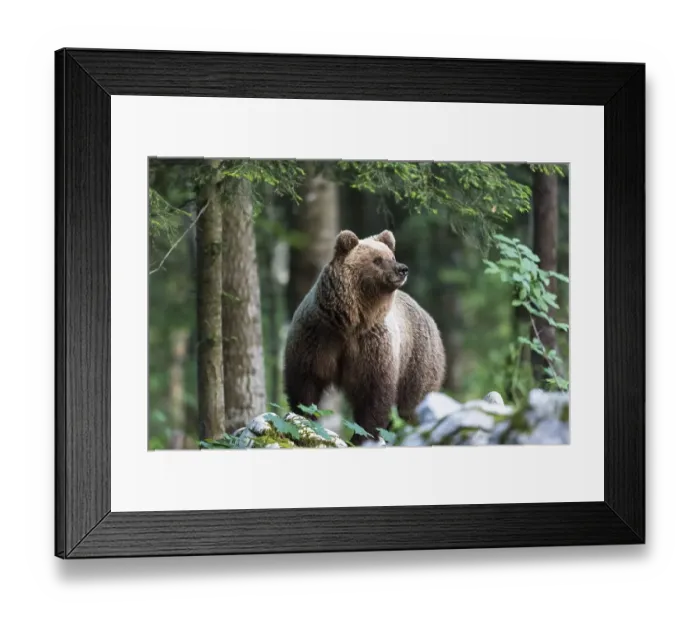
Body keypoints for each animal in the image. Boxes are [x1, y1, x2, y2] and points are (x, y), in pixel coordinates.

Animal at [283, 229, 446, 444]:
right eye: (377, 260)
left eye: (392, 256)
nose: (402, 269)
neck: (350, 321)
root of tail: (428, 316)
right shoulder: (318, 336)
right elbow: (305, 381)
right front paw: (304, 419)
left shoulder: (373, 346)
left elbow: (374, 394)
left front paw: (364, 436)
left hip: (417, 362)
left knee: (413, 405)